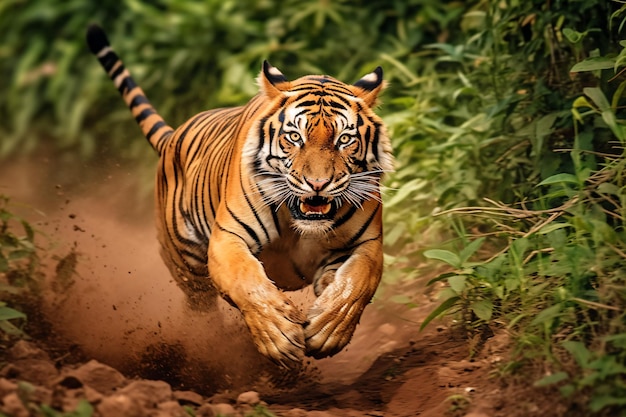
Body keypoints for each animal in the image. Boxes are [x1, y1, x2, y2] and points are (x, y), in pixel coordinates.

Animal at [85, 24, 392, 366]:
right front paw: (279, 336)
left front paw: (328, 329)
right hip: (187, 264)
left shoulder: (366, 245)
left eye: (344, 139)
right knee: (200, 309)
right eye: (294, 137)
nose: (317, 183)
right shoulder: (227, 238)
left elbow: (356, 284)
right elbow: (246, 281)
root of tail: (172, 136)